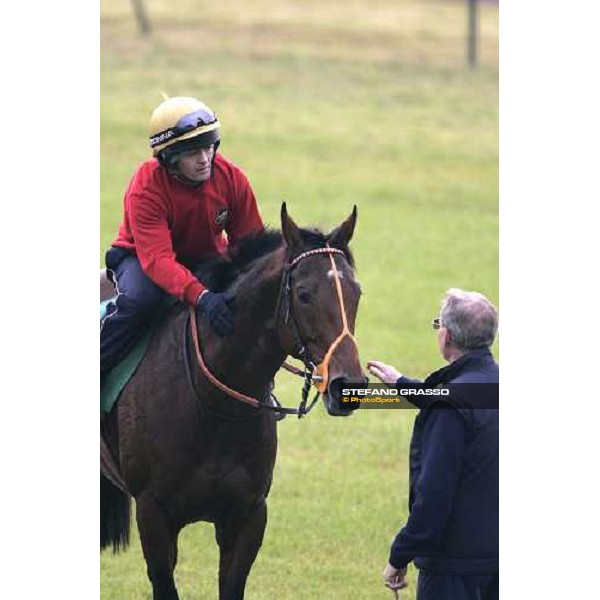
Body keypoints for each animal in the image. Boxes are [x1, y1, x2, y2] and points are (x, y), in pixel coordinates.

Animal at [99, 204, 366, 596]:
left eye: (356, 292)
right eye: (304, 294)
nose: (347, 386)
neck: (213, 407)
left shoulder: (247, 516)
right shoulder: (153, 514)